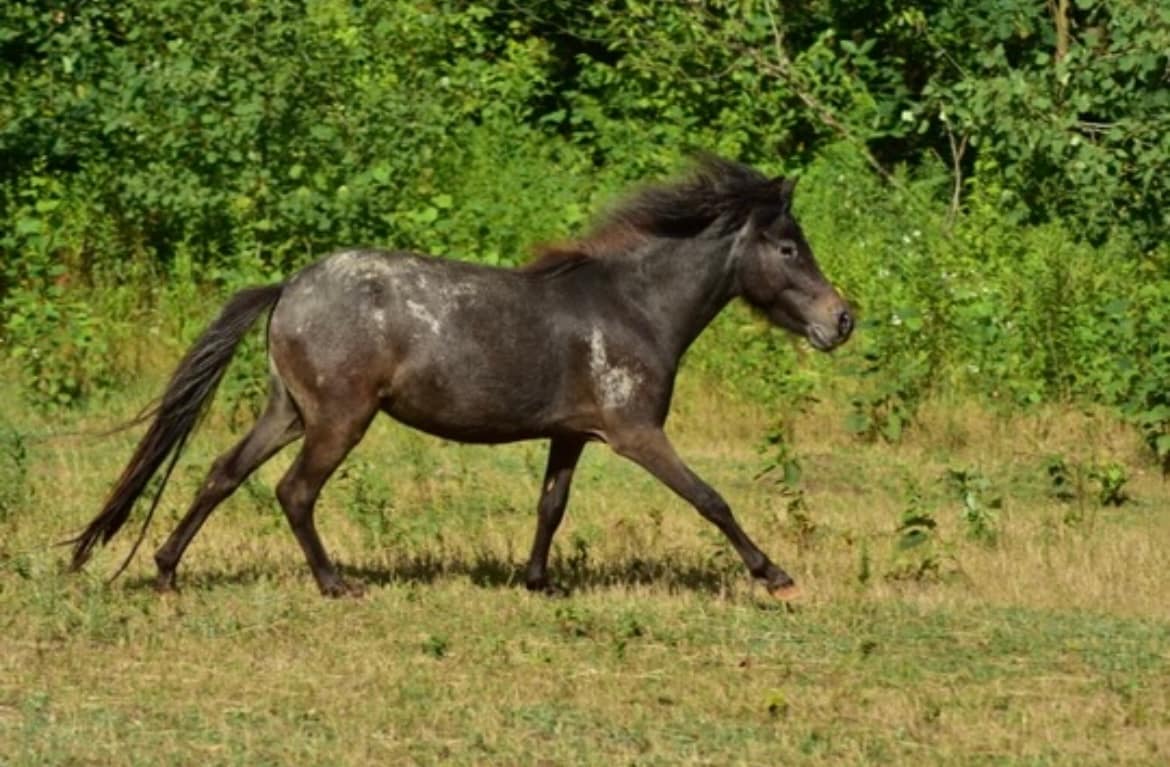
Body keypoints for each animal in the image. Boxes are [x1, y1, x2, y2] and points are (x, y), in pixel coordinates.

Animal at [67, 155, 853, 599]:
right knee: (293, 491)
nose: (842, 320)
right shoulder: (636, 433)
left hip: (288, 411)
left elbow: (550, 505)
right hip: (338, 419)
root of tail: (288, 287)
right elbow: (711, 499)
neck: (633, 308)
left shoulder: (572, 434)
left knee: (221, 474)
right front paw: (775, 576)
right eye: (789, 246)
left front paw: (539, 585)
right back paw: (336, 584)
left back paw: (165, 571)